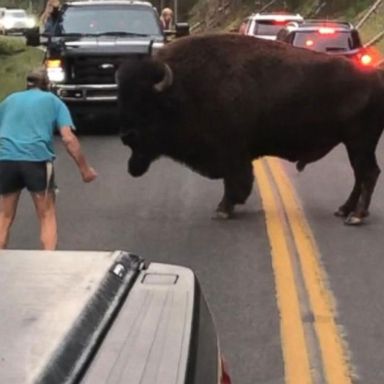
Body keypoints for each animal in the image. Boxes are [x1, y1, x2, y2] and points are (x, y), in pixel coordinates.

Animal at [117, 33, 384, 225]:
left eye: (148, 106)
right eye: (124, 100)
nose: (127, 137)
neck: (186, 89)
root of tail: (376, 77)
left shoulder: (231, 151)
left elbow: (235, 180)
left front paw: (223, 209)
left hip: (360, 142)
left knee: (368, 173)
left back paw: (356, 216)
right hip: (354, 144)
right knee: (360, 175)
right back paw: (344, 210)